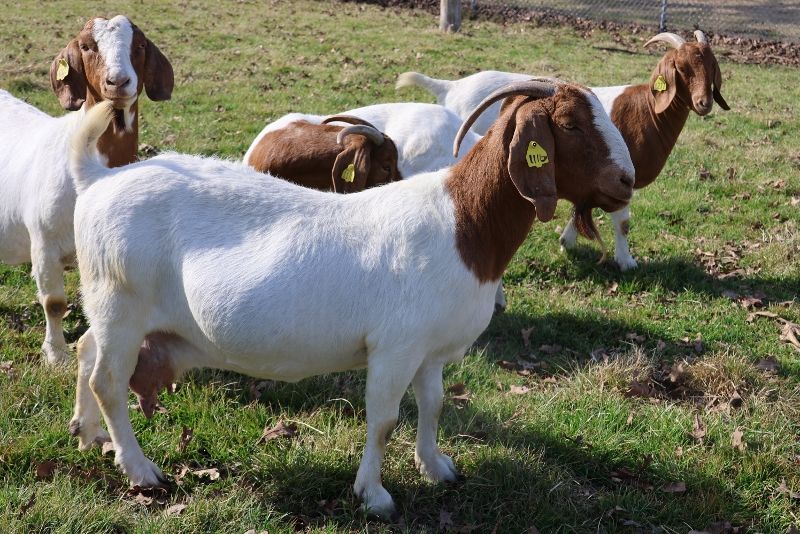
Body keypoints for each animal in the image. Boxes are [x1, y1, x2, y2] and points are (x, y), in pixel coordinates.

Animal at [0, 15, 173, 364]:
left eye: (139, 45)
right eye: (86, 46)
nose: (118, 81)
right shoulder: (44, 243)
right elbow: (54, 303)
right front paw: (55, 354)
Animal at [397, 30, 730, 270]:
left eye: (712, 67)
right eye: (682, 68)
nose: (704, 103)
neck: (647, 111)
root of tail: (450, 87)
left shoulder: (592, 180)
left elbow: (582, 204)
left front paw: (567, 240)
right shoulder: (619, 180)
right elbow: (622, 222)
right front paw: (627, 262)